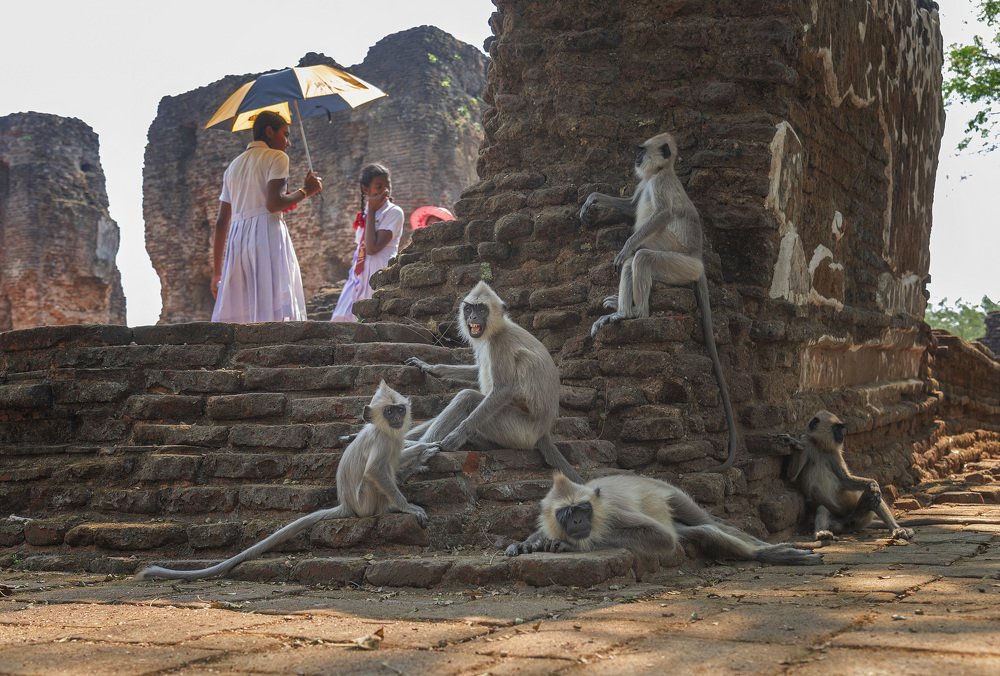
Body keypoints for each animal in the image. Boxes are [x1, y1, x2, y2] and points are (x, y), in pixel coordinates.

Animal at [138, 381, 439, 581]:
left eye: (399, 409)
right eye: (389, 412)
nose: (398, 417)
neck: (383, 430)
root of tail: (347, 505)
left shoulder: (394, 438)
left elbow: (399, 456)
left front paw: (426, 450)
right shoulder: (382, 441)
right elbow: (375, 471)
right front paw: (408, 506)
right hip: (367, 501)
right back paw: (396, 504)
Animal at [404, 281, 583, 484]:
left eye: (482, 309)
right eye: (469, 309)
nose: (473, 317)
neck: (498, 329)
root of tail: (542, 432)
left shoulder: (500, 344)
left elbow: (502, 390)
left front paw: (457, 436)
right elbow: (476, 371)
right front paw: (431, 367)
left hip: (517, 432)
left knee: (468, 397)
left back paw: (421, 448)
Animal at [505, 472, 822, 566]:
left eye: (583, 510)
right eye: (566, 514)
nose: (578, 524)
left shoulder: (613, 513)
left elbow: (660, 536)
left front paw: (571, 545)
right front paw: (527, 544)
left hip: (671, 492)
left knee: (713, 525)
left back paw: (768, 552)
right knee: (702, 531)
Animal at [579, 132, 738, 472]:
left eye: (642, 151)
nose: (636, 158)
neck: (660, 172)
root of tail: (698, 261)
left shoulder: (660, 184)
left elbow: (662, 214)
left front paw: (624, 244)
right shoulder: (645, 183)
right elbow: (629, 205)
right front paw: (592, 200)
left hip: (678, 264)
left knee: (642, 256)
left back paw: (633, 313)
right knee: (632, 263)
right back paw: (620, 308)